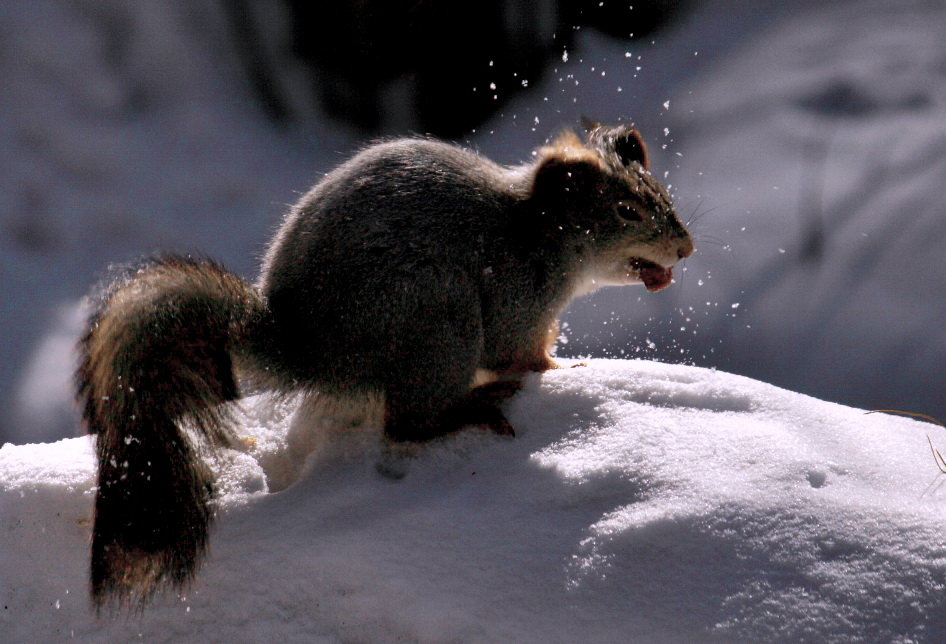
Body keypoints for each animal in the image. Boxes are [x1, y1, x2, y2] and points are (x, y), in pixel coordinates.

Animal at [75, 121, 692, 608]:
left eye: (662, 194)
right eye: (626, 210)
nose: (685, 248)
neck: (537, 232)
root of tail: (309, 352)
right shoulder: (516, 296)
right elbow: (519, 354)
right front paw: (565, 371)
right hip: (434, 316)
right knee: (409, 422)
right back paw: (472, 409)